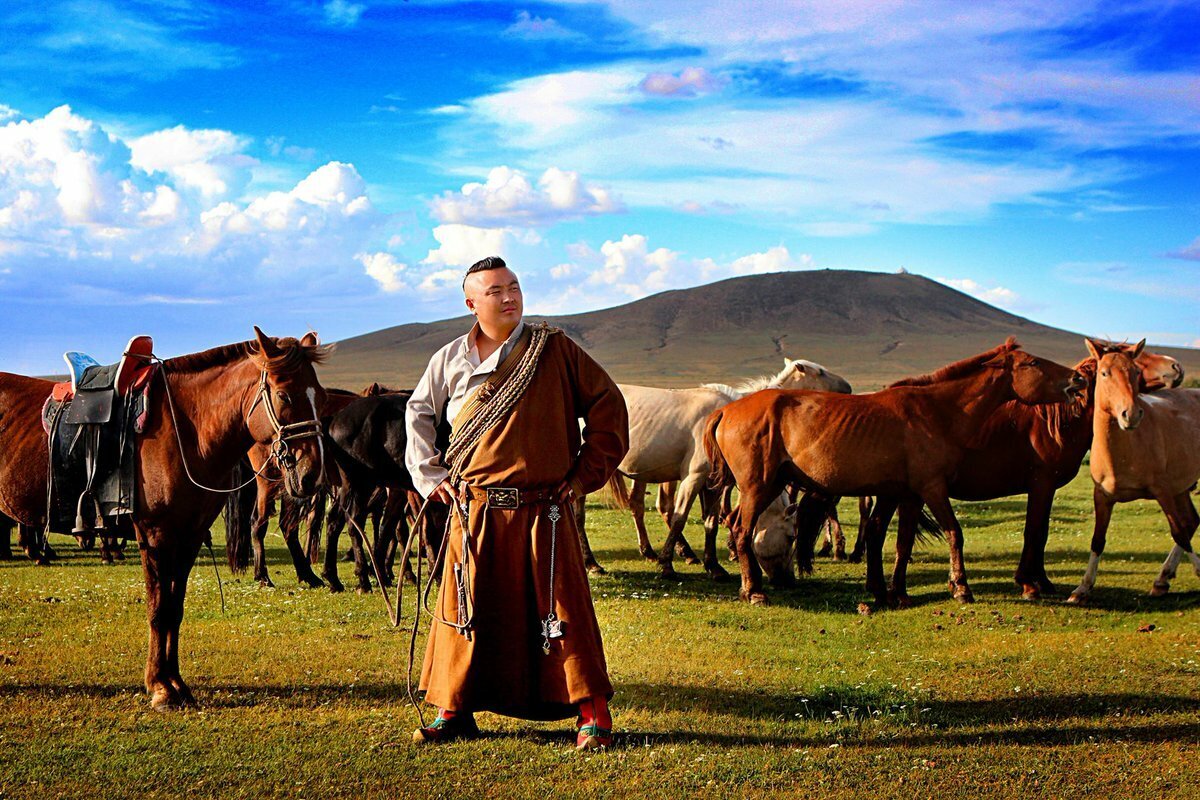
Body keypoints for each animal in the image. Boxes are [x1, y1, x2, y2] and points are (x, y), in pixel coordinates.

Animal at [0, 328, 328, 710]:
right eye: (284, 394)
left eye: (321, 397)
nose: (311, 474)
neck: (189, 429)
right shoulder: (155, 536)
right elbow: (158, 609)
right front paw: (160, 688)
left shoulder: (189, 536)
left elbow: (175, 608)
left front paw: (176, 684)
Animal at [583, 359, 854, 578]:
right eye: (791, 536)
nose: (849, 388)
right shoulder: (694, 477)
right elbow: (681, 518)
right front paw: (667, 565)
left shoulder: (714, 483)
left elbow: (711, 522)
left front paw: (714, 566)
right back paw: (593, 563)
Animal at [700, 338, 1089, 606]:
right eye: (1033, 362)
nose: (1078, 379)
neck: (938, 413)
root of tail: (727, 410)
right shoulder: (933, 489)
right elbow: (954, 533)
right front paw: (960, 587)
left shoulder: (908, 494)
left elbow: (899, 542)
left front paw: (893, 592)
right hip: (757, 486)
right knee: (740, 529)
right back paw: (754, 591)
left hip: (770, 485)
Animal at [878, 340, 1185, 604]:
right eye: (1139, 361)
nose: (1176, 368)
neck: (1057, 422)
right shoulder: (1041, 484)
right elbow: (1034, 531)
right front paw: (1028, 584)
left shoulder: (1046, 489)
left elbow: (1042, 532)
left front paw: (1043, 581)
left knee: (899, 536)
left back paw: (898, 592)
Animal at [1065, 340, 1200, 604]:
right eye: (1104, 373)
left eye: (1135, 372)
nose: (1131, 414)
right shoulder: (1102, 497)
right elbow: (1097, 540)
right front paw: (1082, 588)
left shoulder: (1163, 491)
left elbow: (1178, 531)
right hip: (1181, 488)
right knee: (1192, 520)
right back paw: (1162, 579)